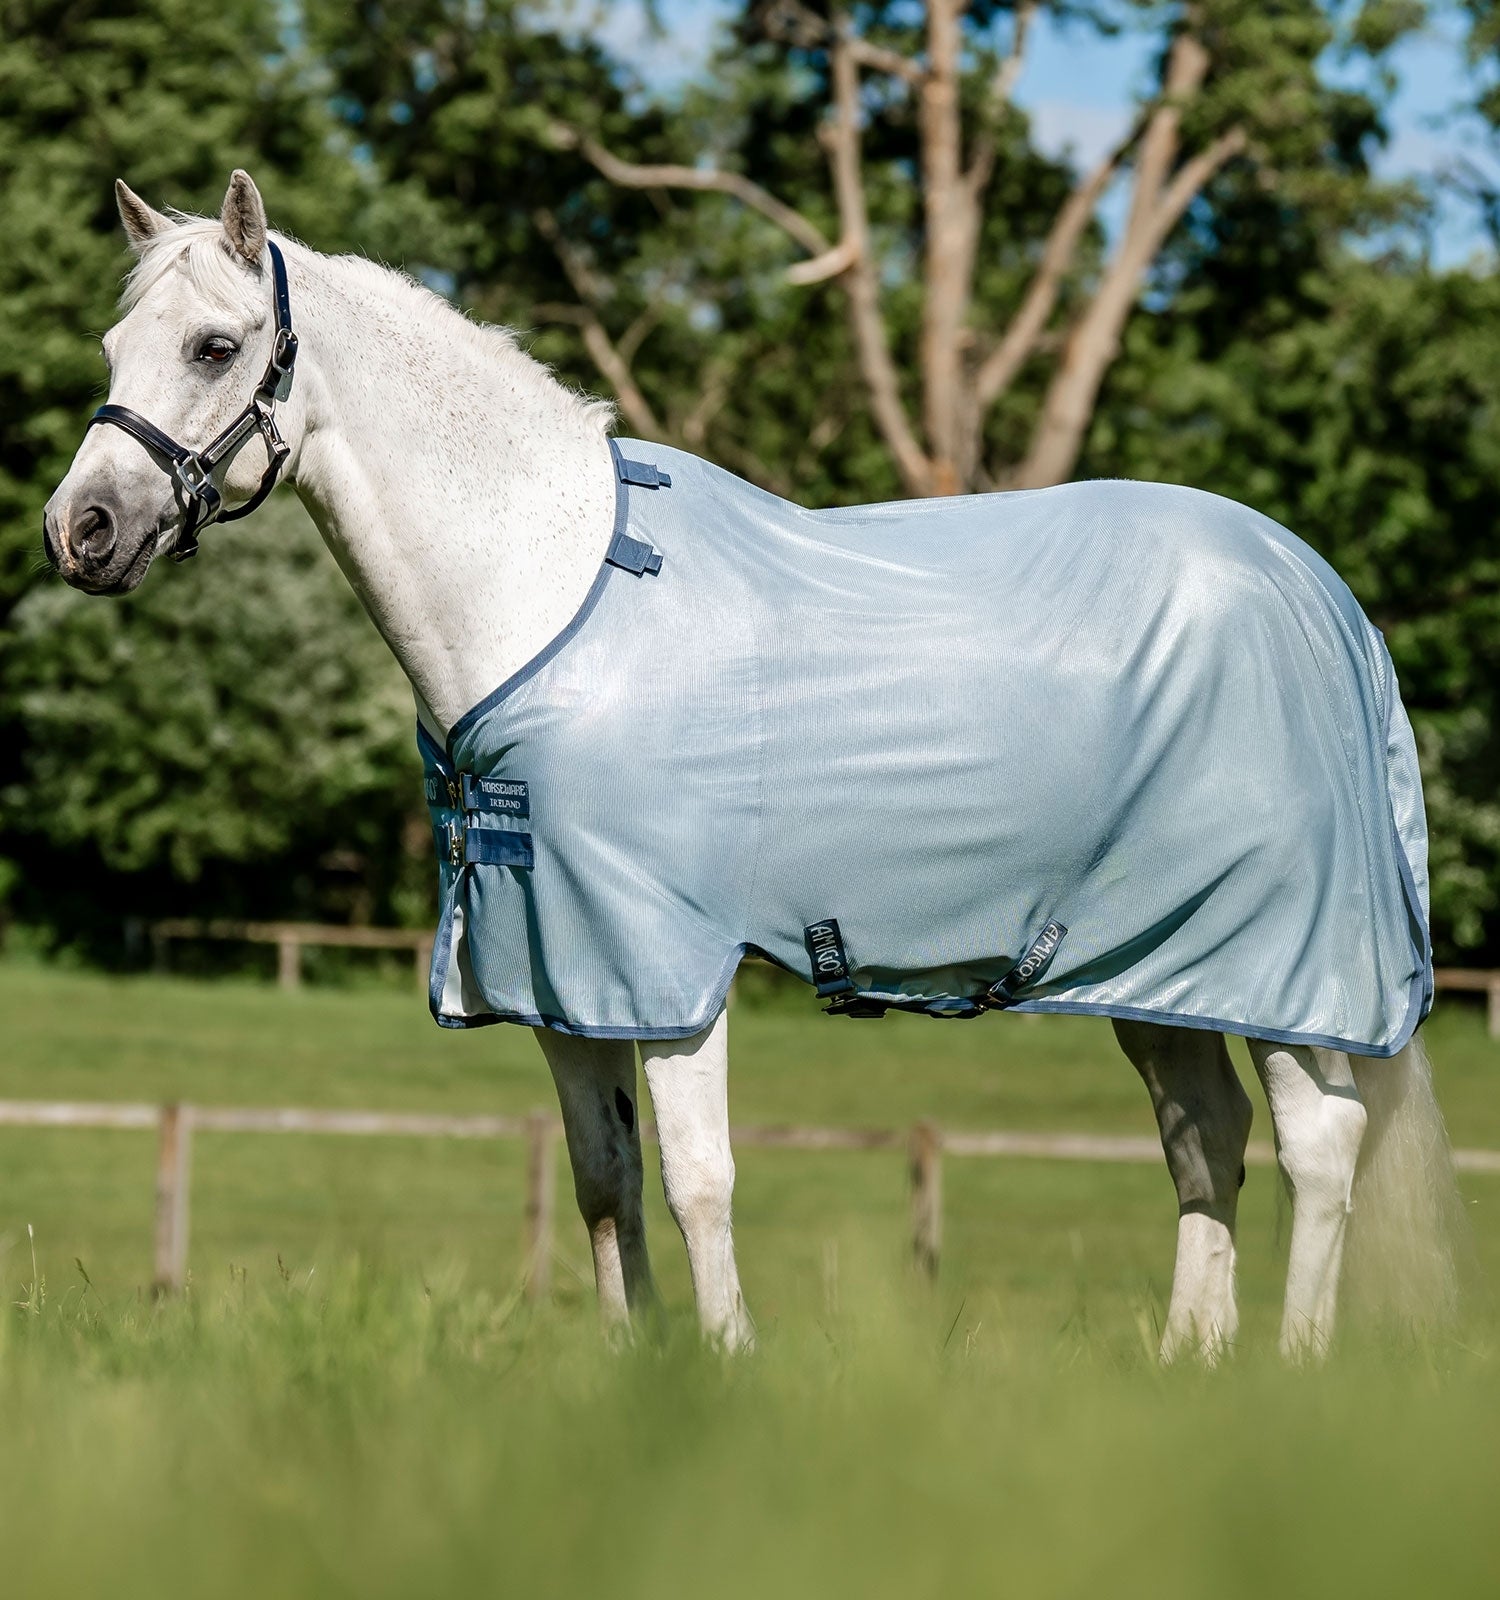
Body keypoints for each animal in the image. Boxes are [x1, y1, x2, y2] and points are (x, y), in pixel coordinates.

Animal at [43, 170, 1461, 1361]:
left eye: (214, 346)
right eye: (115, 348)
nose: (81, 529)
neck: (552, 592)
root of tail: (1321, 595)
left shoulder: (667, 964)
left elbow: (696, 1178)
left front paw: (725, 1376)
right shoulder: (563, 974)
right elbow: (603, 1180)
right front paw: (633, 1374)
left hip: (1278, 963)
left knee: (1319, 1142)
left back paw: (1289, 1372)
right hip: (1154, 967)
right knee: (1204, 1140)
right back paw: (1189, 1369)